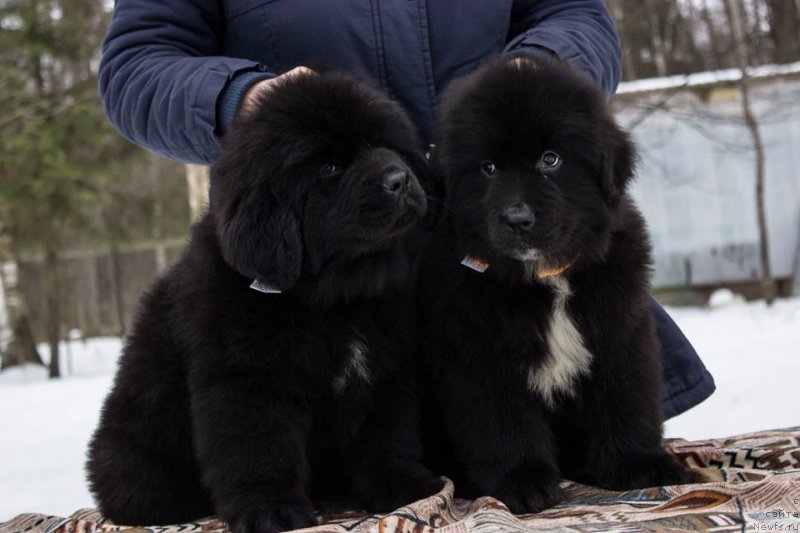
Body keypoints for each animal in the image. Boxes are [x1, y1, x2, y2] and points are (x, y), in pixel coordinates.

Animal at [90, 71, 446, 532]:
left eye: (383, 143)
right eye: (329, 167)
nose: (399, 180)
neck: (332, 300)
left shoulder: (386, 369)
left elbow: (388, 435)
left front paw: (404, 486)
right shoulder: (249, 379)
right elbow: (259, 449)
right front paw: (270, 511)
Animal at [418, 57, 692, 512]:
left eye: (550, 160)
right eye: (489, 168)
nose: (517, 219)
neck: (547, 279)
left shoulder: (620, 333)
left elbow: (626, 401)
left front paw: (640, 464)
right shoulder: (481, 353)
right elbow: (503, 421)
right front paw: (522, 481)